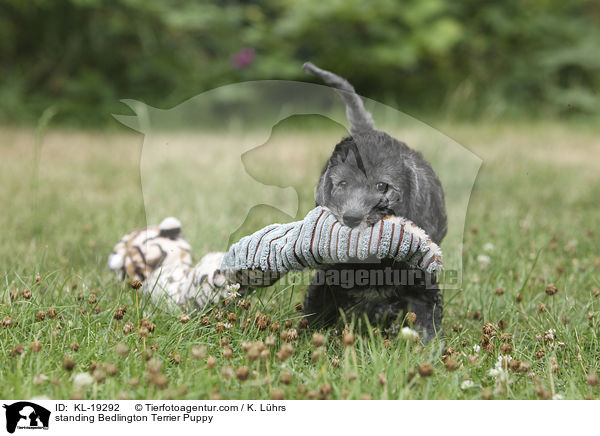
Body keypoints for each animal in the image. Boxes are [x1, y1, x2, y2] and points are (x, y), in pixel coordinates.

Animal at [304, 62, 446, 340]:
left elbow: (426, 320)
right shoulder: (328, 277)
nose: (351, 218)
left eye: (382, 187)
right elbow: (315, 310)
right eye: (342, 184)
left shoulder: (421, 282)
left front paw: (427, 347)